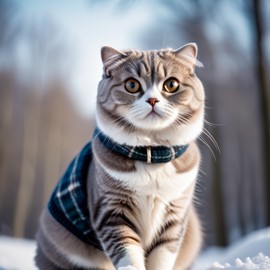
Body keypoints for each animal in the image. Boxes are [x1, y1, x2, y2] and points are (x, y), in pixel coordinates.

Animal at [34, 42, 204, 270]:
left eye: (171, 84)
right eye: (132, 85)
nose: (152, 100)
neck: (151, 154)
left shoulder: (175, 214)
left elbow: (163, 254)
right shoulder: (111, 210)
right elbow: (127, 251)